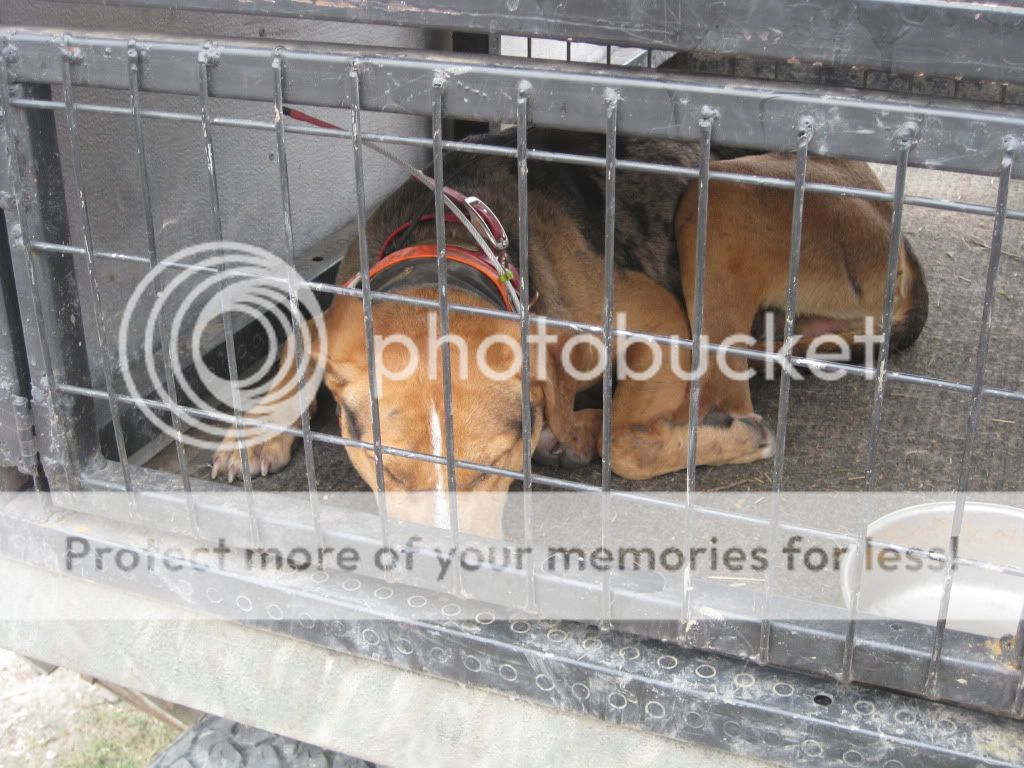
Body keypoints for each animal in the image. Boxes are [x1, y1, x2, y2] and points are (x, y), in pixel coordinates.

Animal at [211, 129, 927, 534]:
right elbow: (298, 342)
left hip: (718, 198)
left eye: (495, 464)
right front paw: (254, 434)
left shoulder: (660, 321)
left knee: (724, 394)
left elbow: (626, 438)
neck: (446, 250)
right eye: (387, 469)